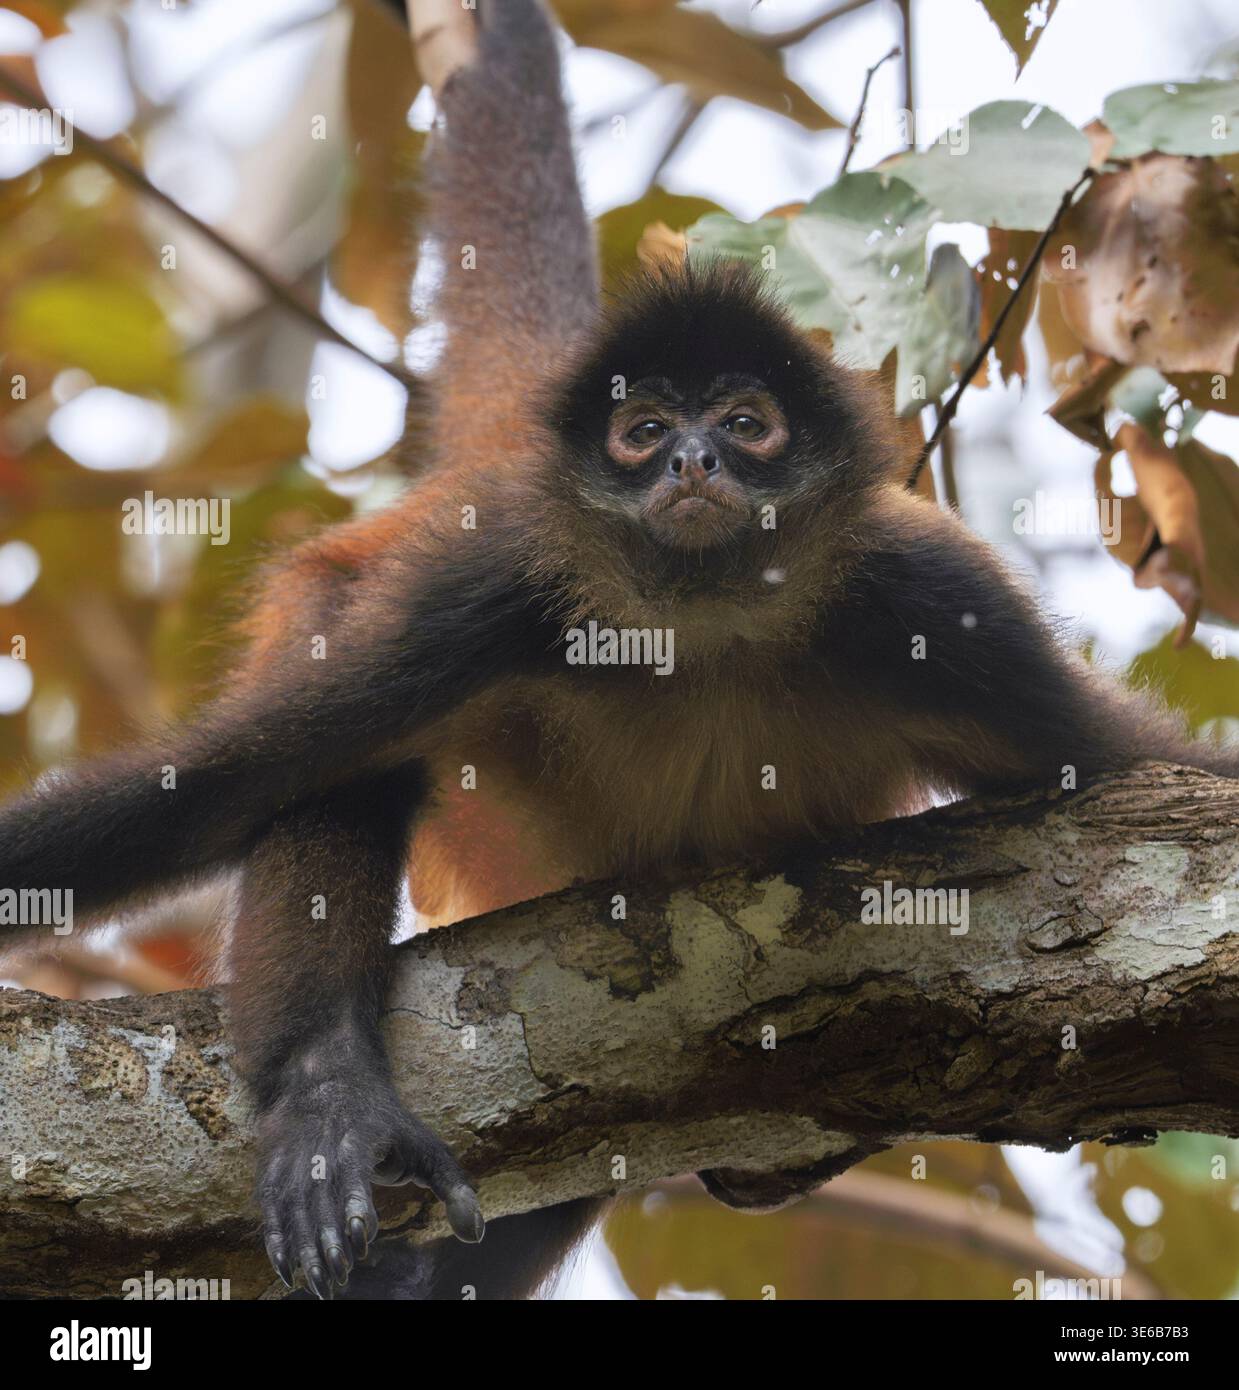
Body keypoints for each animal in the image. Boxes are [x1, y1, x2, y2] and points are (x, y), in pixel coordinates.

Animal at [1, 0, 1236, 1301]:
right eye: (645, 432)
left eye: (745, 423)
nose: (692, 460)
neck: (706, 628)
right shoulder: (489, 598)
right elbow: (213, 786)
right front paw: (319, 1083)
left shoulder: (943, 606)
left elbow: (1137, 767)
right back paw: (331, 1093)